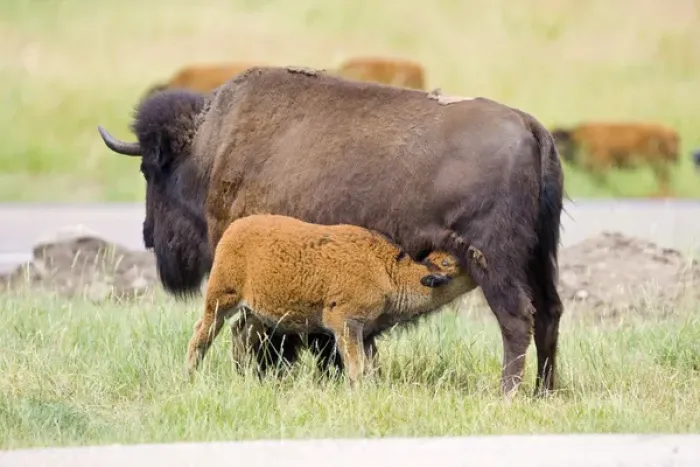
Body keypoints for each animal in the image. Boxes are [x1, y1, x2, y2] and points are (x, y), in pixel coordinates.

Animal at [96, 65, 565, 398]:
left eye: (150, 171)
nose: (148, 235)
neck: (210, 151)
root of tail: (532, 128)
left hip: (495, 263)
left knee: (516, 319)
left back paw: (507, 394)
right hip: (541, 258)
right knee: (550, 314)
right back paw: (543, 392)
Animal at [550, 122, 679, 197]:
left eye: (558, 138)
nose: (556, 149)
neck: (576, 140)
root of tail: (672, 133)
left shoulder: (602, 166)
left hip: (658, 165)